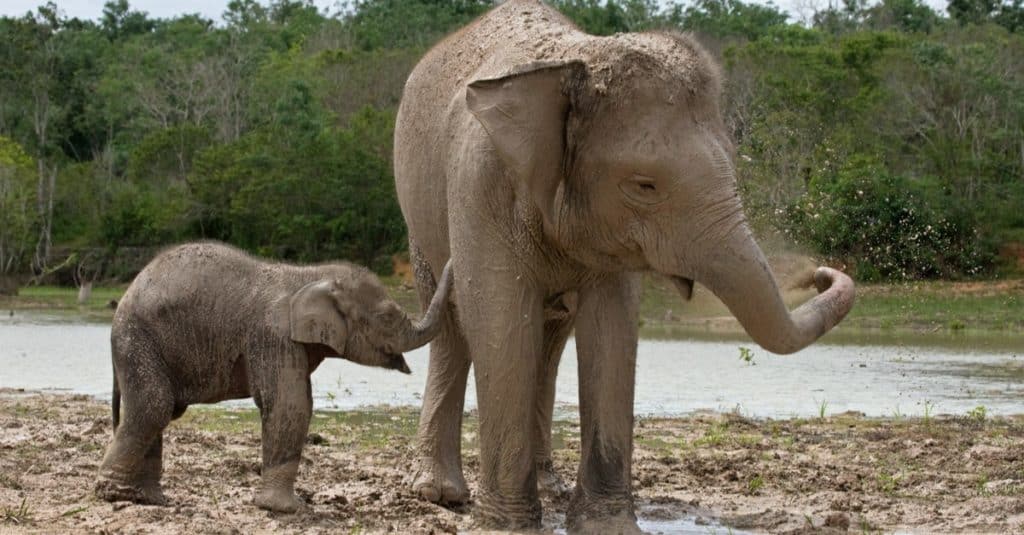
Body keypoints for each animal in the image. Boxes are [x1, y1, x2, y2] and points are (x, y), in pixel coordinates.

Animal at [94, 242, 453, 513]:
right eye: (387, 317)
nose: (451, 260)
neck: (310, 274)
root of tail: (126, 295)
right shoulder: (273, 335)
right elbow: (289, 404)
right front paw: (287, 509)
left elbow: (294, 402)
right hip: (137, 338)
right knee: (154, 406)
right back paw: (115, 494)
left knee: (158, 411)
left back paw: (148, 499)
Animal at [393, 0, 856, 531]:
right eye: (644, 186)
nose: (817, 273)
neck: (575, 61)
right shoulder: (480, 183)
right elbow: (500, 320)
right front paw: (507, 525)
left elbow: (611, 326)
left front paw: (607, 526)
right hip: (419, 220)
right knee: (452, 328)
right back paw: (439, 493)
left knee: (550, 337)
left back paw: (547, 486)